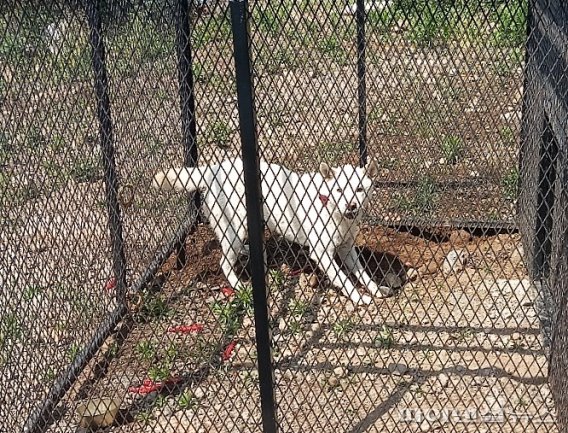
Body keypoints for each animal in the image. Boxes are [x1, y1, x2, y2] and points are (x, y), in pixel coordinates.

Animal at [153, 157, 390, 302]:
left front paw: (376, 289)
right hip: (236, 229)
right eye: (339, 190)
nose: (351, 205)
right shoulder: (322, 254)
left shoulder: (347, 249)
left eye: (359, 189)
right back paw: (239, 285)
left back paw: (251, 252)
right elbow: (344, 280)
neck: (331, 208)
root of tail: (214, 169)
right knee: (224, 262)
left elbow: (363, 274)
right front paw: (359, 298)